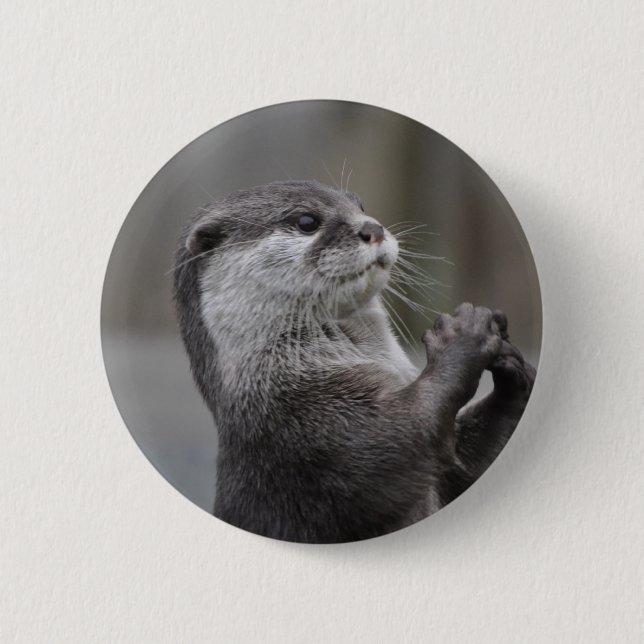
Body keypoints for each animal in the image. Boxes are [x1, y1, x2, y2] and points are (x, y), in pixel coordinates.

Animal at [173, 180, 535, 543]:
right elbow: (404, 435)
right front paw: (464, 335)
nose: (373, 228)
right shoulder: (313, 435)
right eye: (306, 221)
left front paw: (512, 367)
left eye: (360, 206)